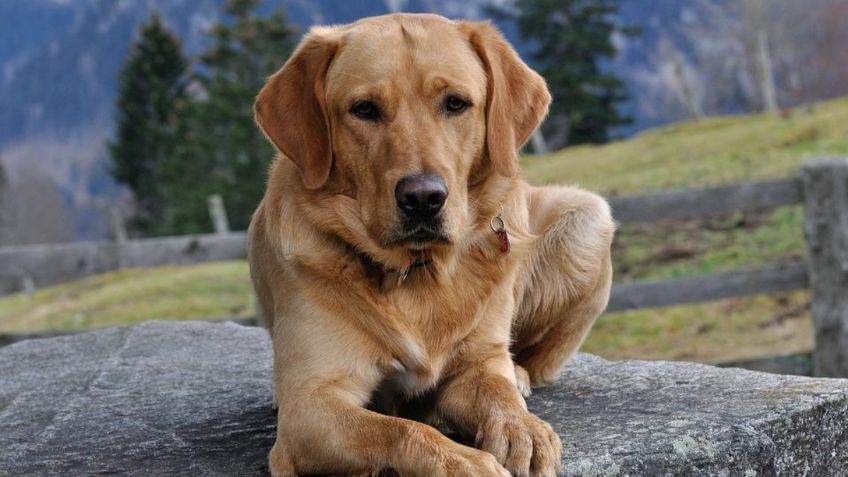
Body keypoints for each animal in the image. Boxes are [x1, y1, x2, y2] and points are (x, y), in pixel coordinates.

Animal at [248, 12, 612, 476]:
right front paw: (462, 461)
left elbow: (496, 392)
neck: (416, 270)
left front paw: (521, 427)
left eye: (455, 103)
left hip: (588, 216)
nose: (423, 197)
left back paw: (519, 374)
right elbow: (401, 430)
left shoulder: (474, 365)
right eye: (364, 109)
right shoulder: (308, 405)